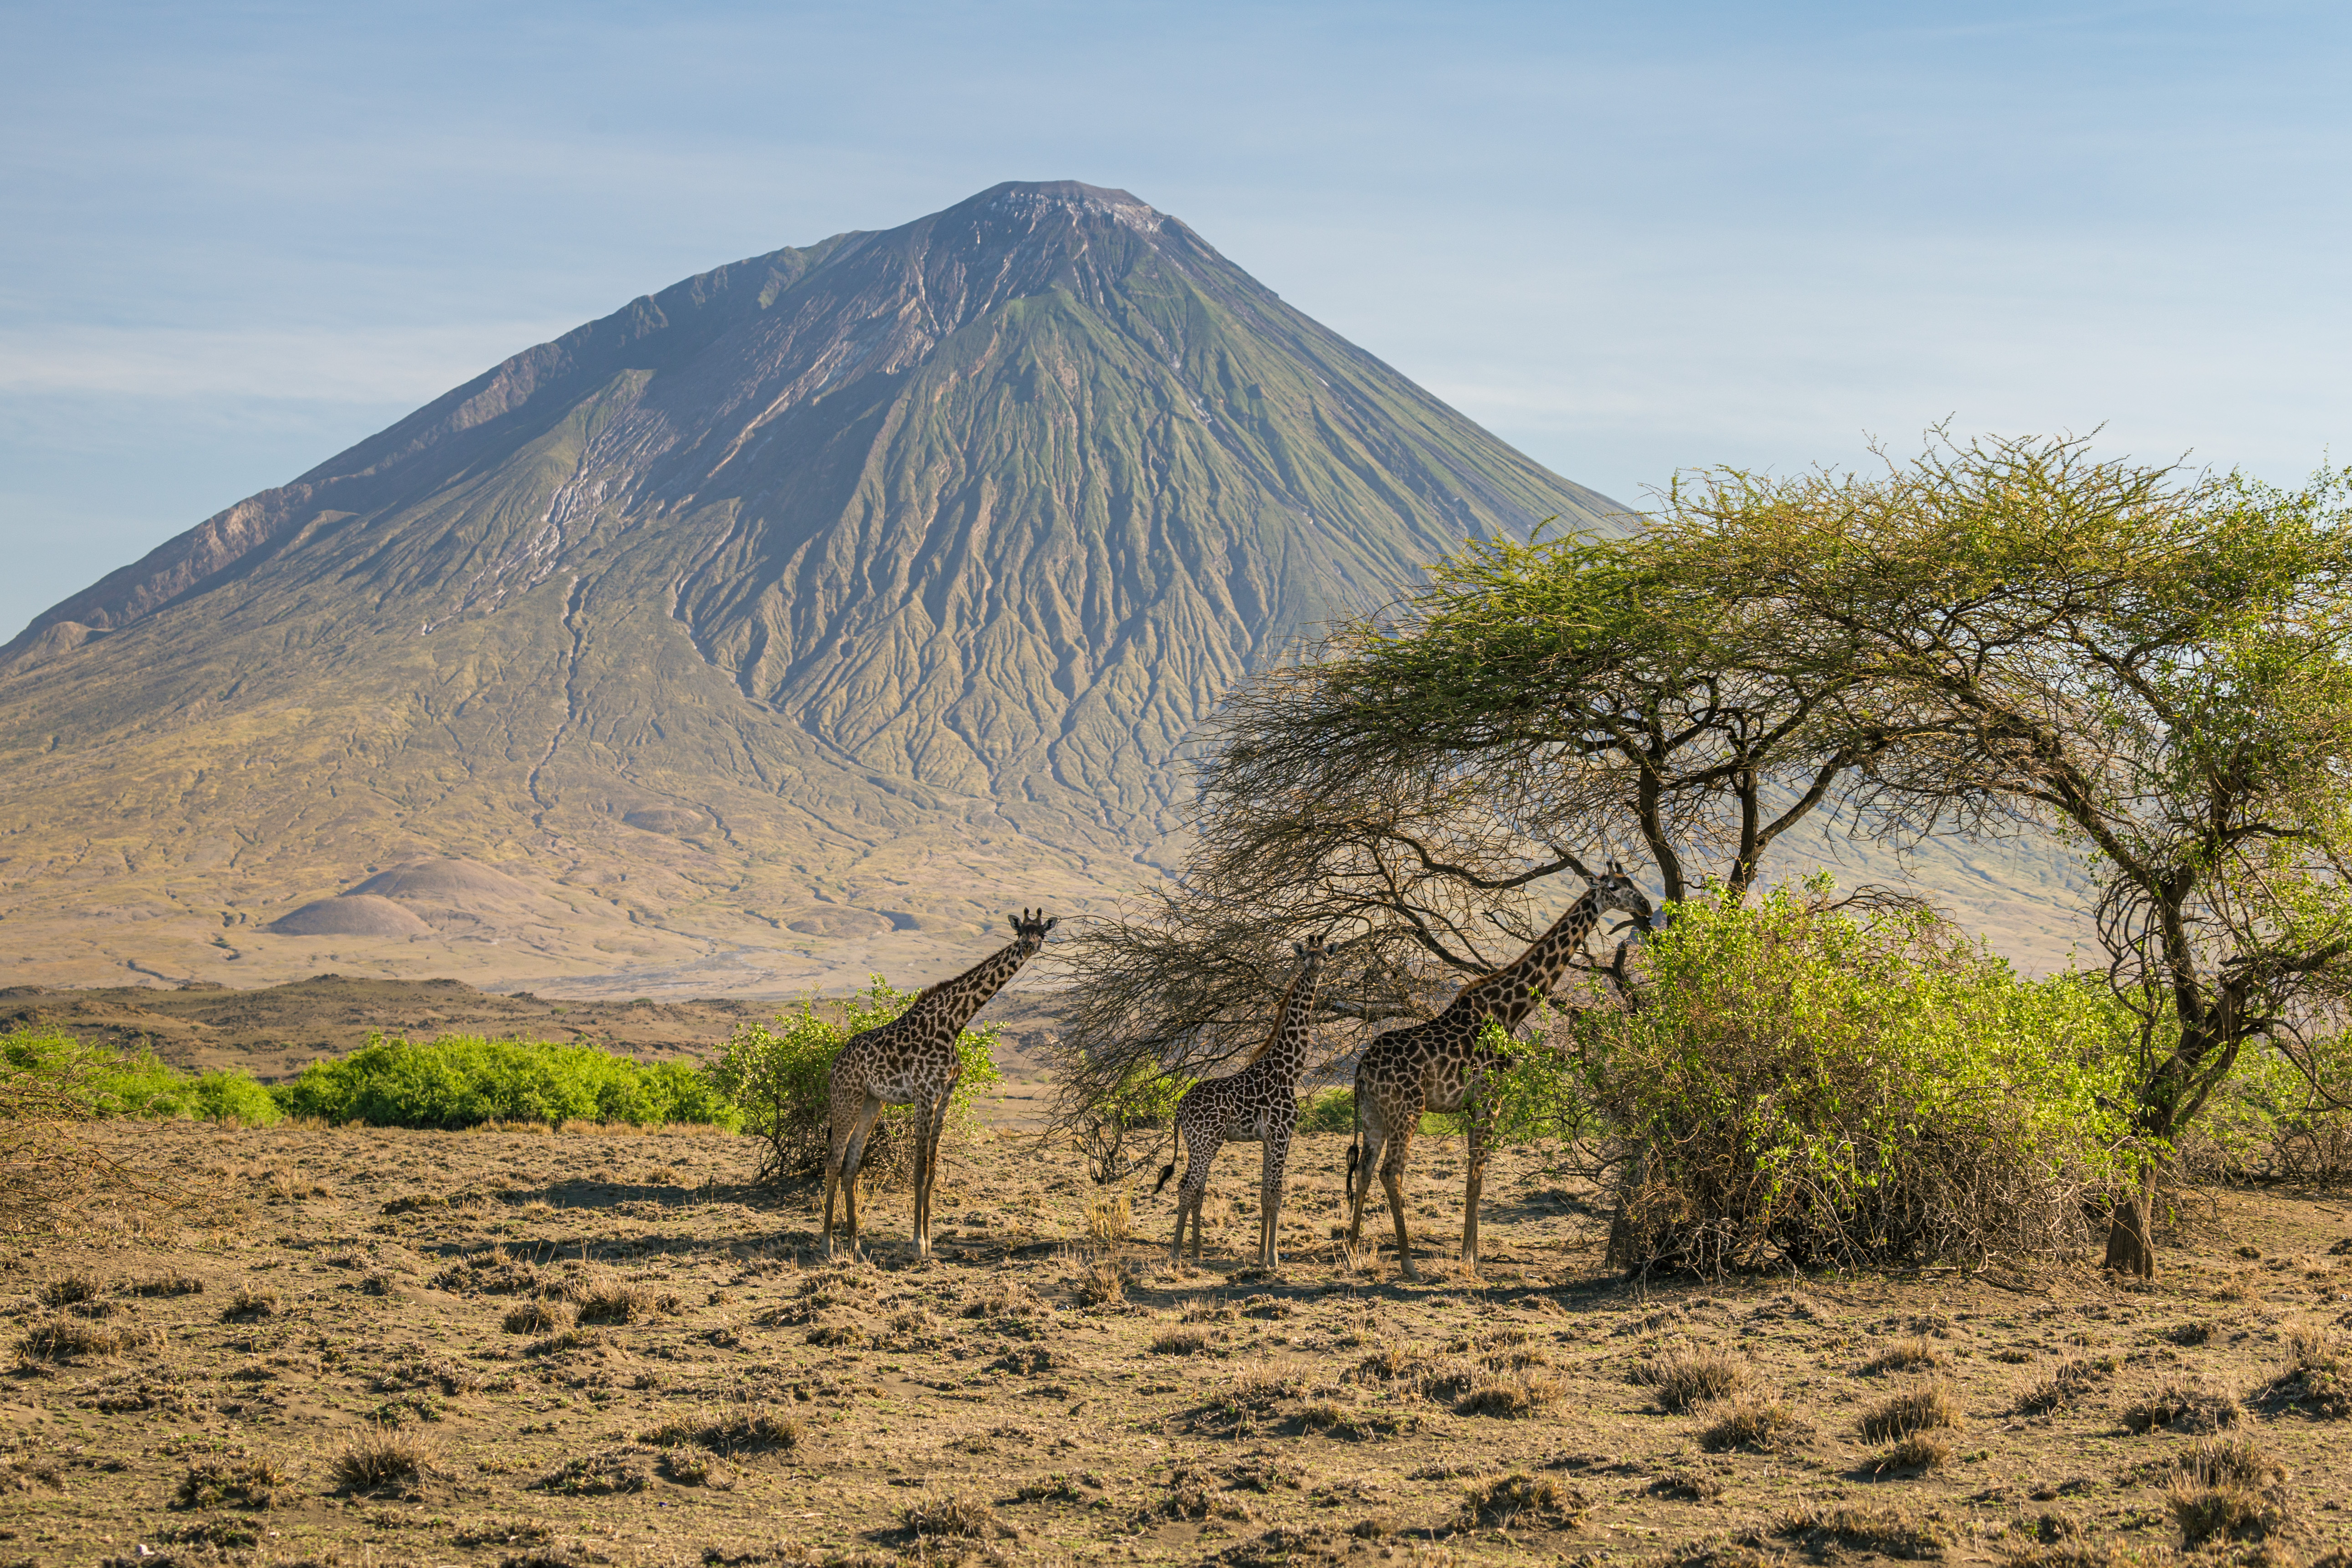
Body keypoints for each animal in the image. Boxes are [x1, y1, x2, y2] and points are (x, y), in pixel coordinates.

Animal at [821, 908, 1057, 1261]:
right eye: (1019, 933)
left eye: (1041, 932)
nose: (1028, 946)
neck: (953, 1023)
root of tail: (835, 1064)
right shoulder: (924, 1094)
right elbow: (918, 1169)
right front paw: (918, 1245)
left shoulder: (945, 1095)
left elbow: (932, 1170)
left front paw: (930, 1242)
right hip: (846, 1097)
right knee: (833, 1162)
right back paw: (827, 1243)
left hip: (872, 1101)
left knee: (851, 1163)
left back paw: (856, 1245)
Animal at [1152, 935, 1331, 1269]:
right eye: (1305, 957)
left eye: (1325, 956)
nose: (1314, 969)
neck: (1288, 1069)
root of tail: (1180, 1108)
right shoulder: (1281, 1135)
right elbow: (1275, 1194)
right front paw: (1273, 1259)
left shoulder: (1269, 1139)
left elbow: (1264, 1195)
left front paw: (1262, 1255)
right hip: (1206, 1141)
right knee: (1187, 1187)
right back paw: (1176, 1254)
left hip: (1198, 1143)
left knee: (1195, 1188)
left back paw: (1196, 1253)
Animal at [1344, 865, 1651, 1281]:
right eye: (1614, 887)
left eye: (1633, 882)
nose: (1647, 905)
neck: (1508, 1011)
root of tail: (1362, 1067)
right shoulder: (1491, 1098)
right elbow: (1476, 1176)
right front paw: (1470, 1262)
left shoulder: (1475, 1104)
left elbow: (1474, 1176)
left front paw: (1469, 1257)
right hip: (1407, 1108)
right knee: (1391, 1172)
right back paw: (1408, 1265)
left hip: (1373, 1112)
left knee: (1363, 1169)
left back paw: (1352, 1250)